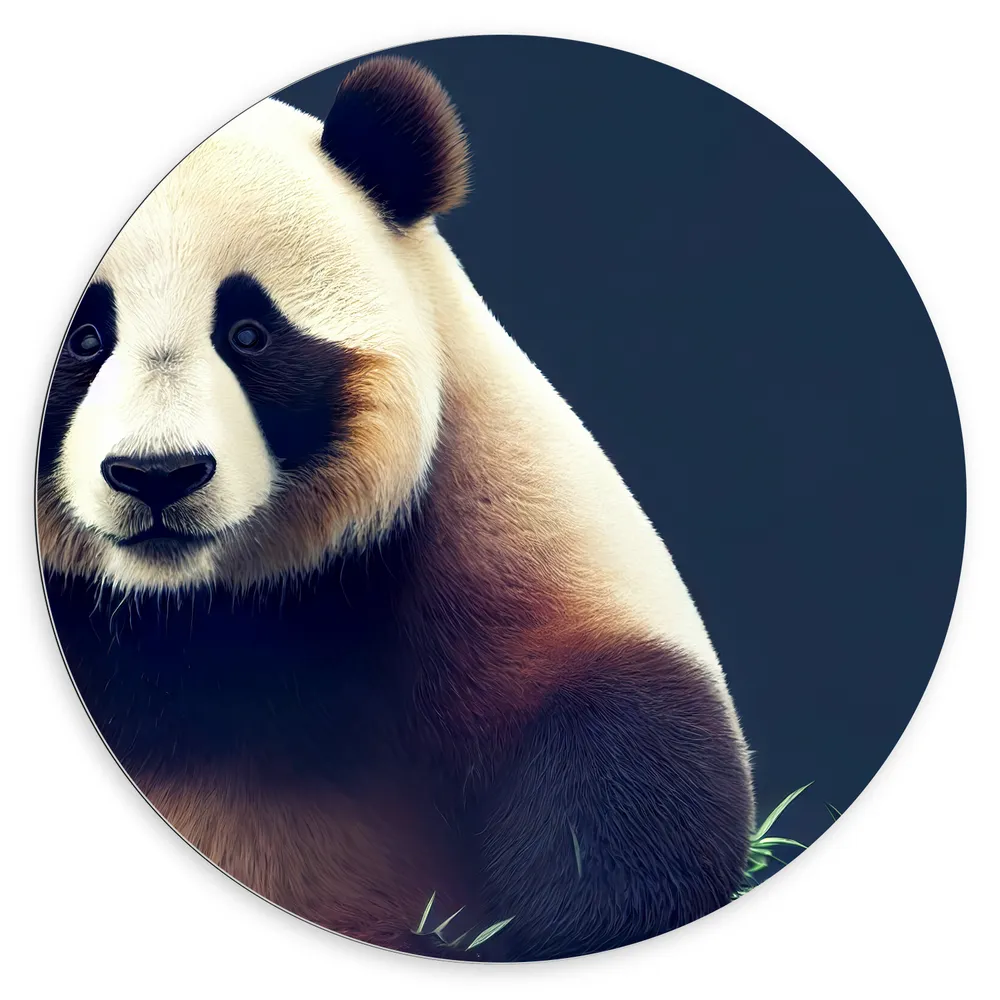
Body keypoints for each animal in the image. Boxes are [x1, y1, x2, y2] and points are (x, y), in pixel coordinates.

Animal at [38, 56, 755, 961]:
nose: (157, 475)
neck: (196, 614)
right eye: (85, 339)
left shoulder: (483, 508)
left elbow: (627, 746)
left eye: (249, 334)